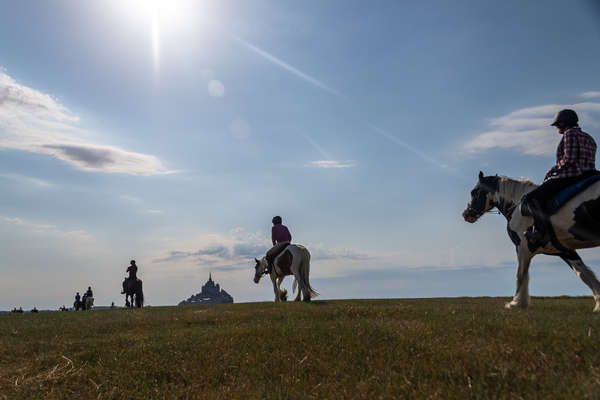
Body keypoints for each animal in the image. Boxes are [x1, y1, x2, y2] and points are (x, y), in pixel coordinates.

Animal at [466, 170, 600, 310]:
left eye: (474, 192)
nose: (466, 214)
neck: (517, 208)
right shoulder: (564, 250)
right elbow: (583, 273)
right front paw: (598, 304)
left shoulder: (523, 246)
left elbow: (520, 274)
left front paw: (517, 303)